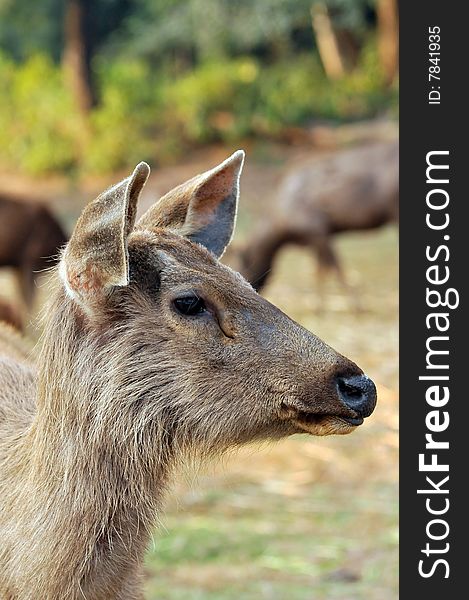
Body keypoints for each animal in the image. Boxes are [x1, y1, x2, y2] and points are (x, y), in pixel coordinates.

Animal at [232, 141, 396, 304]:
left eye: (243, 270)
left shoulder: (317, 230)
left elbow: (334, 268)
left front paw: (357, 305)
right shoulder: (314, 238)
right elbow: (320, 270)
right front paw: (321, 306)